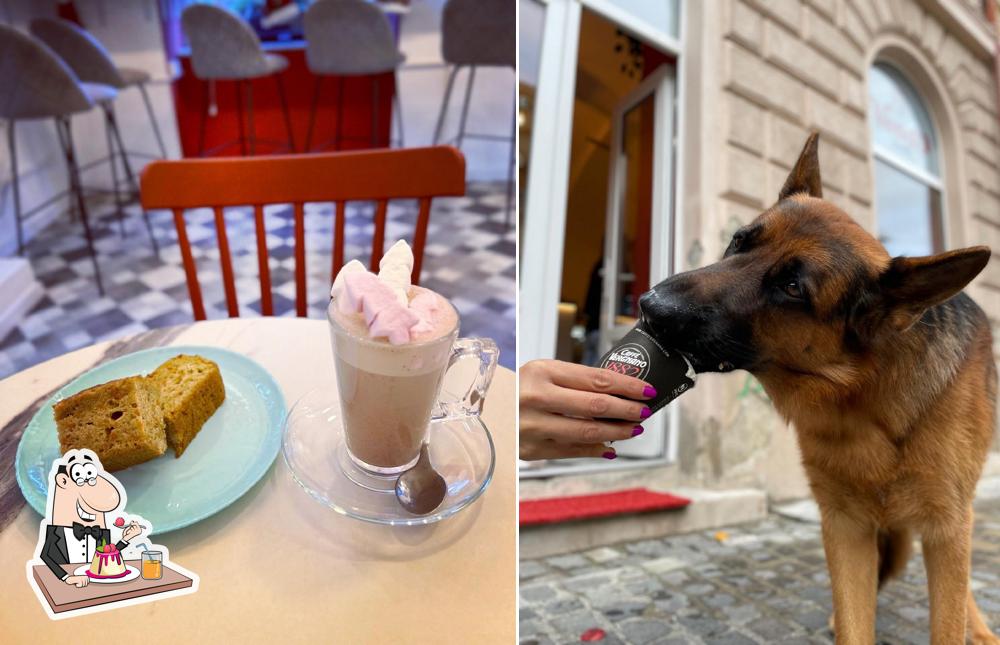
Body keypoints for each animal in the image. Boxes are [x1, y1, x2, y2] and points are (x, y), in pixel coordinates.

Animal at [644, 133, 996, 640]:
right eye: (738, 241)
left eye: (792, 288)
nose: (650, 306)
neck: (867, 401)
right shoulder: (844, 528)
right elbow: (854, 622)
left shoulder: (946, 524)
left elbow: (947, 615)